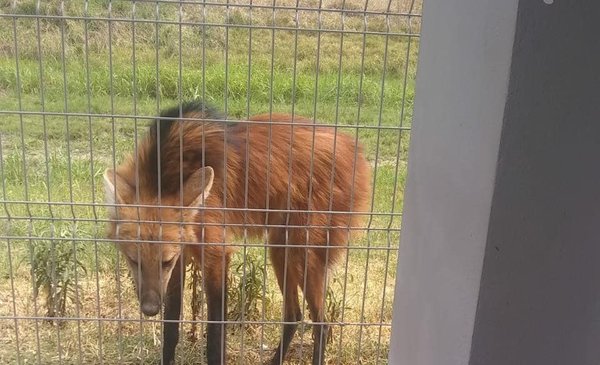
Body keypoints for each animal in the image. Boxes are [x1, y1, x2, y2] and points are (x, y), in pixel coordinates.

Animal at [103, 100, 372, 364]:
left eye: (164, 262)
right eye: (133, 261)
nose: (149, 310)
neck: (169, 170)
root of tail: (356, 149)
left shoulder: (214, 254)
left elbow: (215, 334)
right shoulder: (181, 258)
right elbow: (170, 328)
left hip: (304, 251)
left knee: (322, 323)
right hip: (280, 247)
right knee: (294, 313)